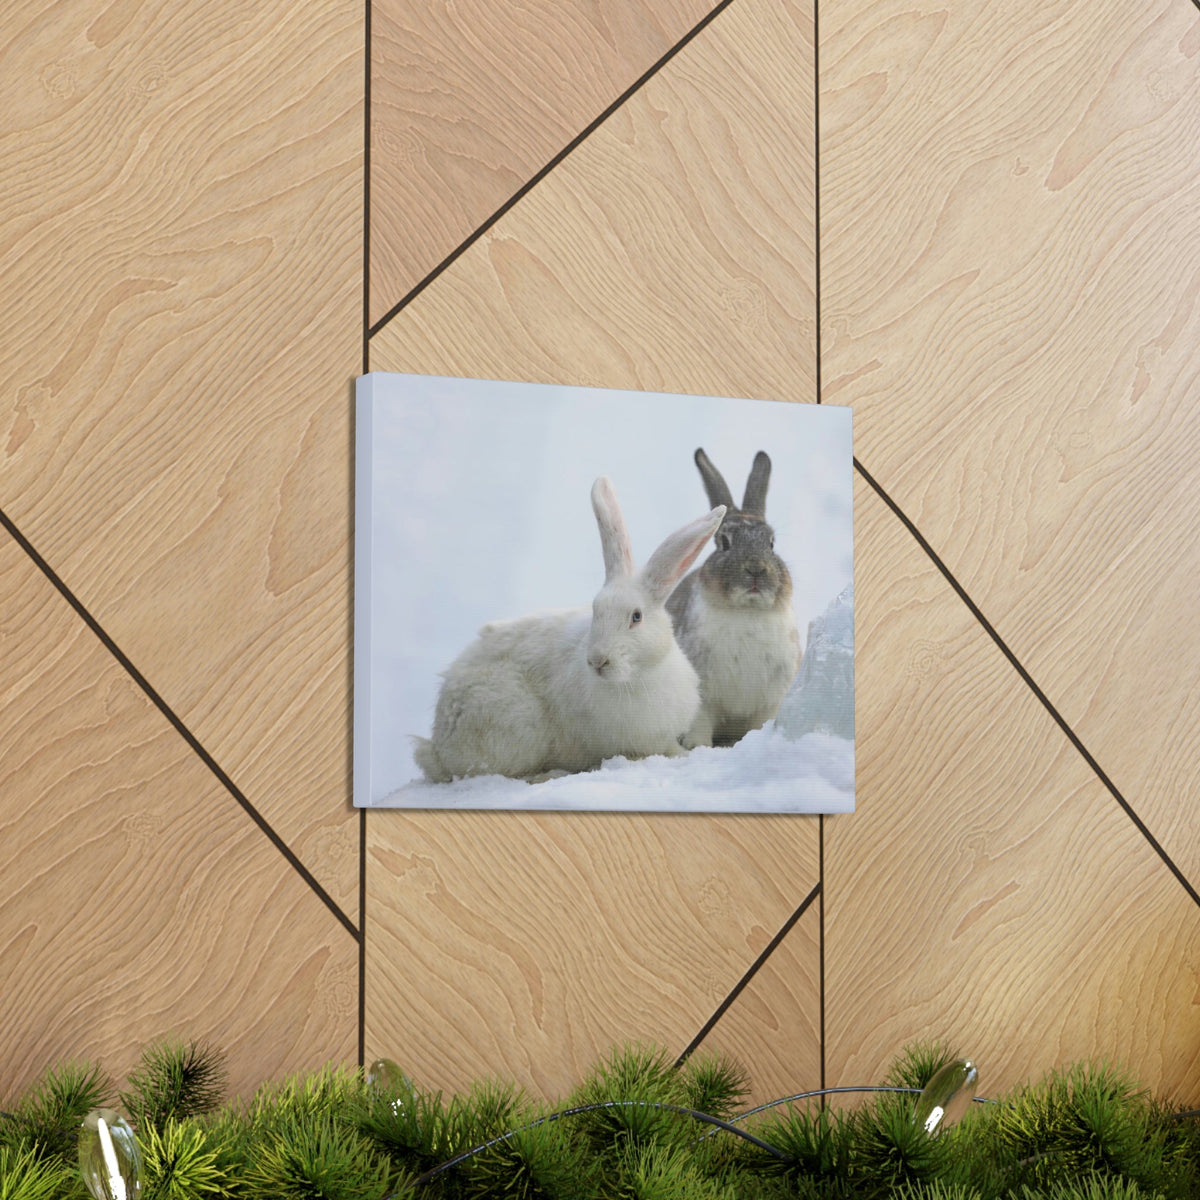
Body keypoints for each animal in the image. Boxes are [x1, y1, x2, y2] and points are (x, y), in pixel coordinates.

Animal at [413, 476, 726, 783]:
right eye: (595, 611)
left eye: (636, 617)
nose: (598, 661)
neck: (638, 677)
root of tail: (439, 747)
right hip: (515, 727)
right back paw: (551, 773)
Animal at [665, 448, 802, 747]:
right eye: (724, 542)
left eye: (771, 543)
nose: (756, 569)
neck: (746, 611)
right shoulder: (703, 698)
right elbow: (700, 725)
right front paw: (697, 747)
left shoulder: (770, 701)